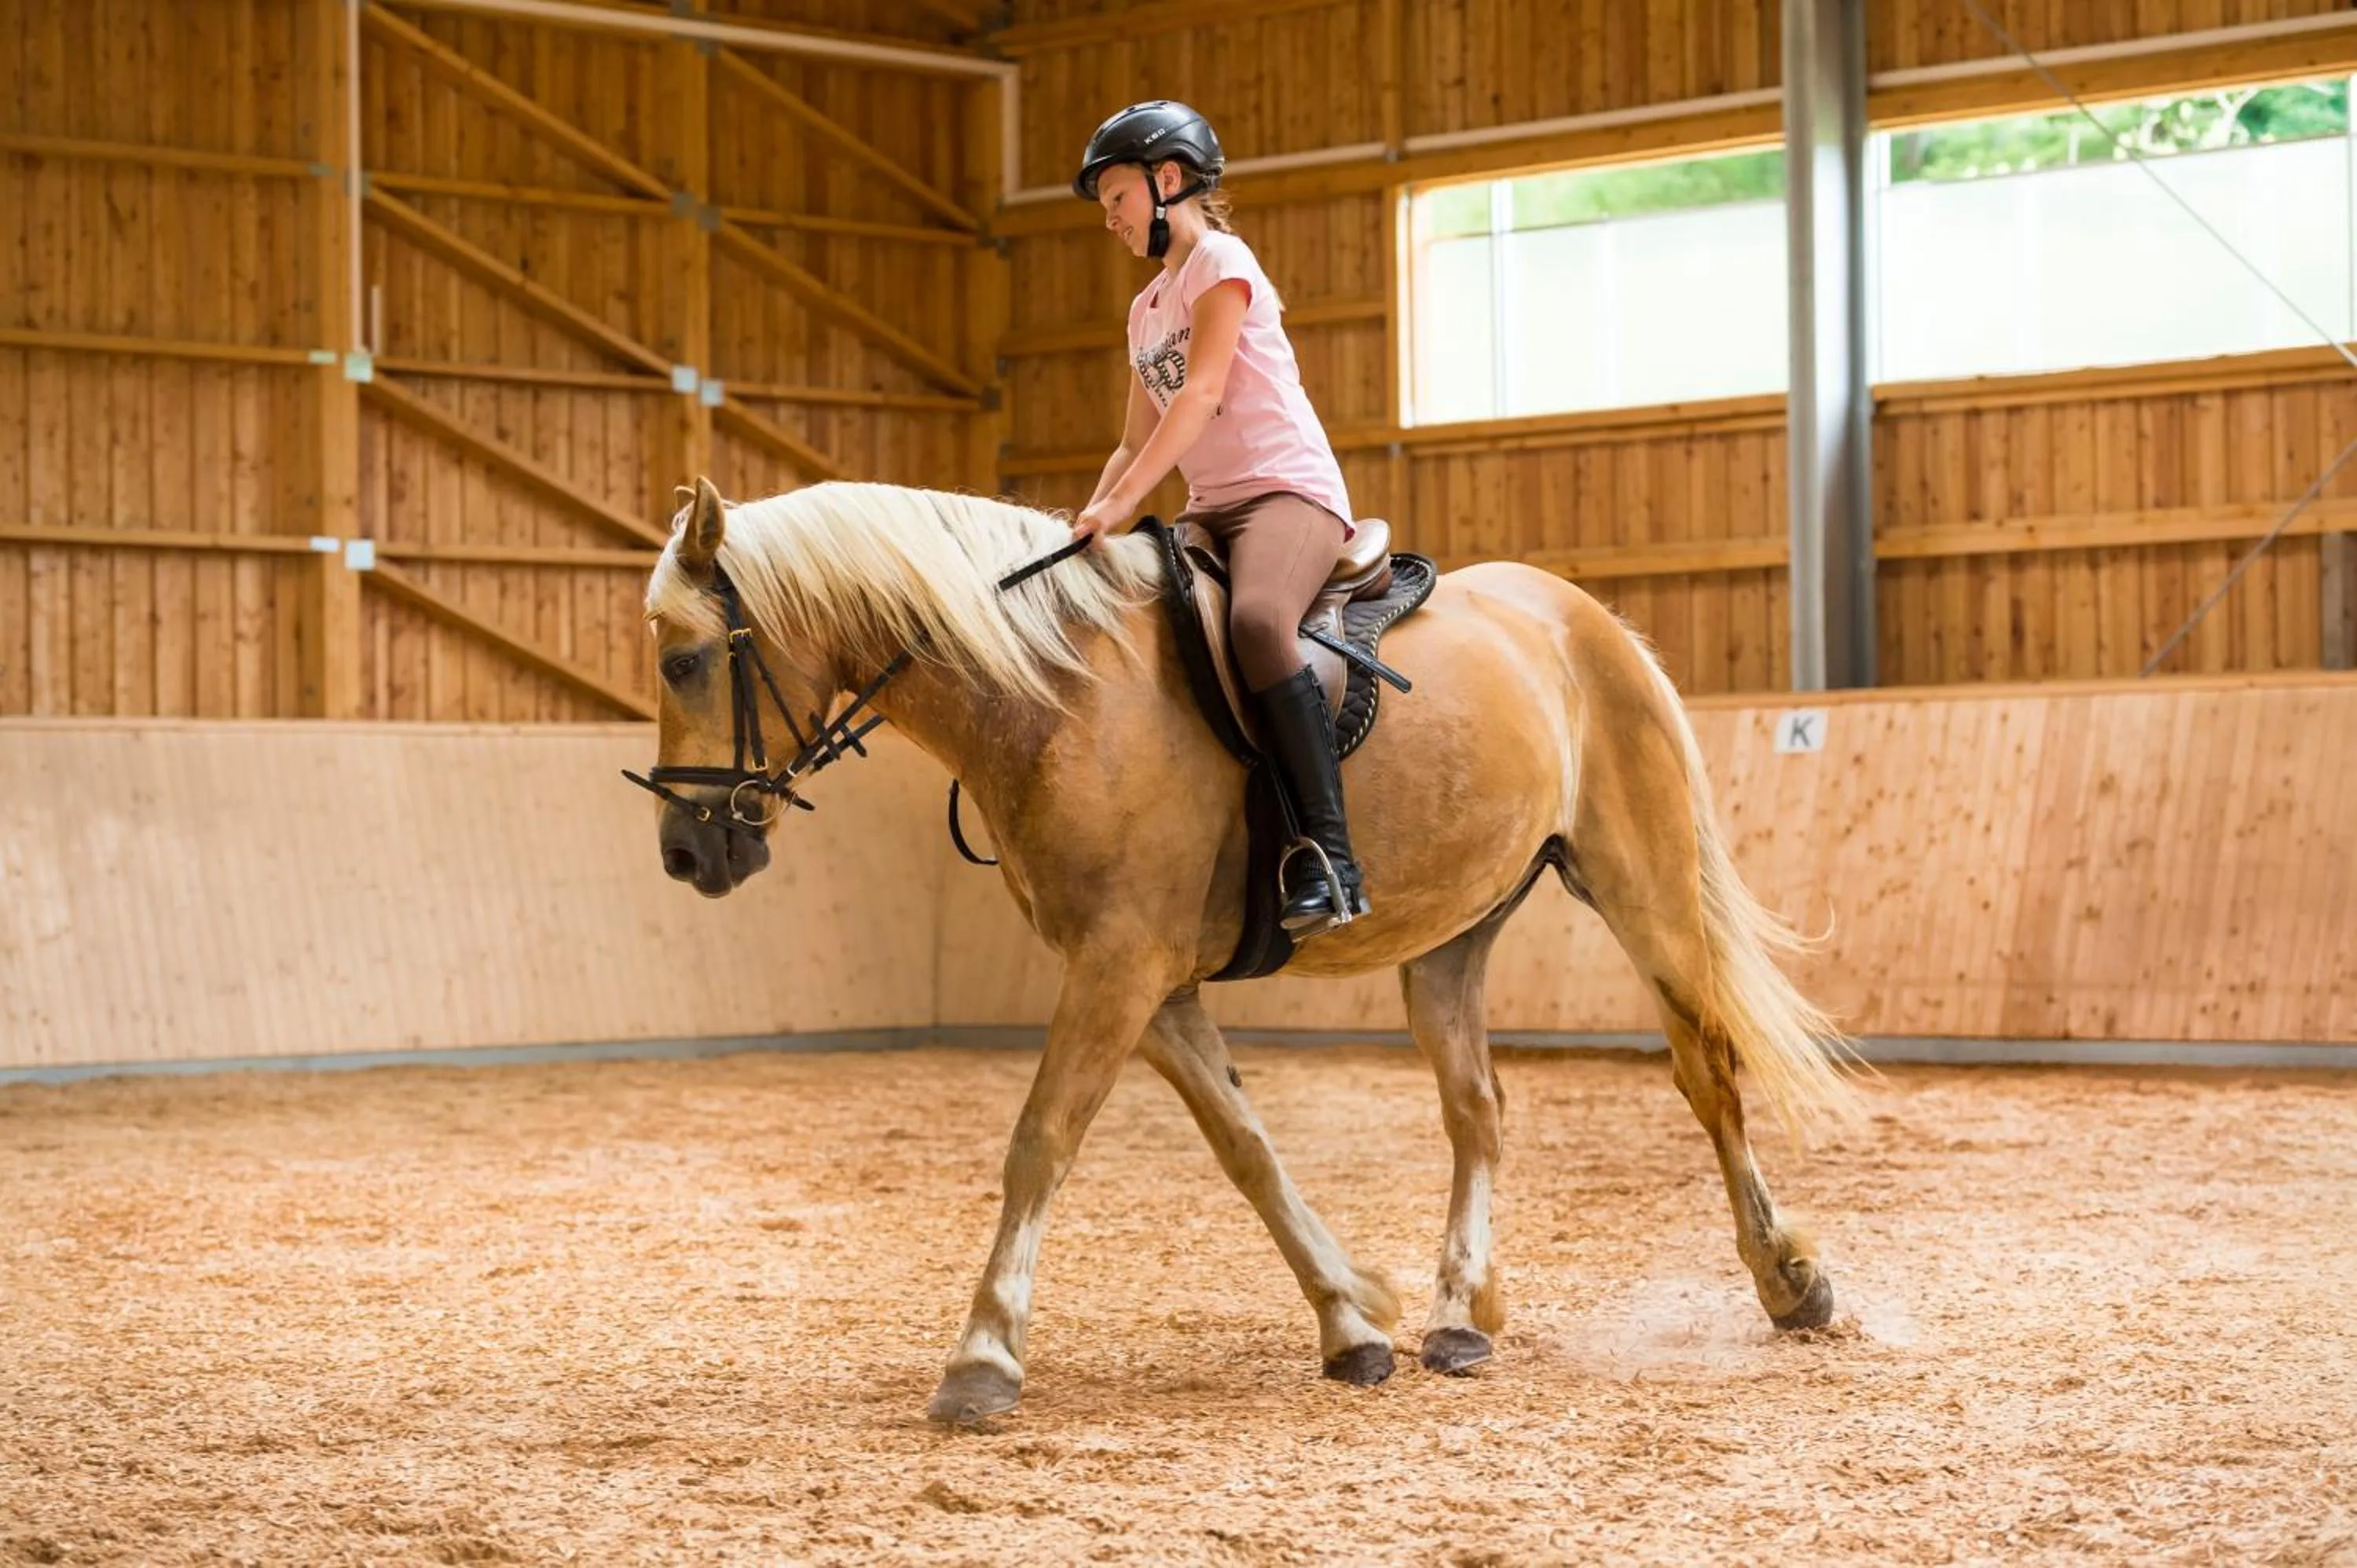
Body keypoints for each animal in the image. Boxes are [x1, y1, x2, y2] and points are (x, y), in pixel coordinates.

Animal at [634, 475, 1862, 1426]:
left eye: (686, 661)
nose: (687, 854)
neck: (1059, 696)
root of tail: (1587, 621)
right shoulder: (1153, 986)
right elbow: (1249, 1152)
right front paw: (1352, 1321)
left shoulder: (1119, 967)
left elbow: (1039, 1143)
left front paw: (982, 1359)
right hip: (1452, 938)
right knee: (1477, 1111)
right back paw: (1459, 1316)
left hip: (1642, 886)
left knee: (1708, 1073)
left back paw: (1791, 1283)